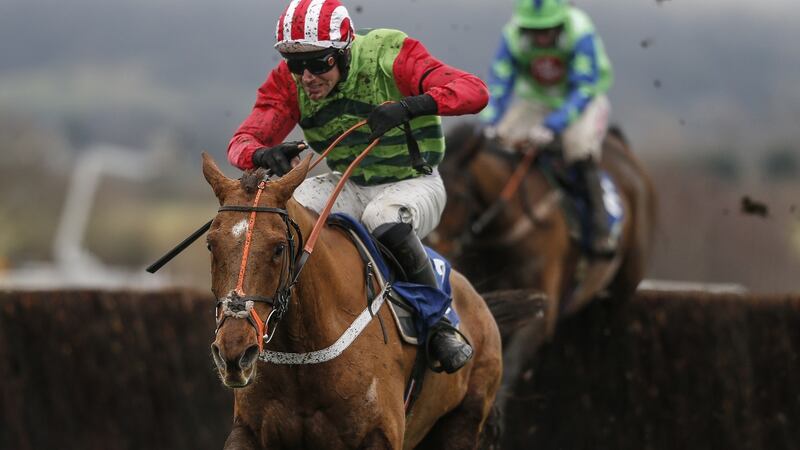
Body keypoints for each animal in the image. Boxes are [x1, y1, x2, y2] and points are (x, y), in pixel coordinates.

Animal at [200, 153, 500, 448]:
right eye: (211, 244)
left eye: (278, 248)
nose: (234, 352)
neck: (304, 352)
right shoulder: (248, 430)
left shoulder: (380, 435)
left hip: (463, 420)